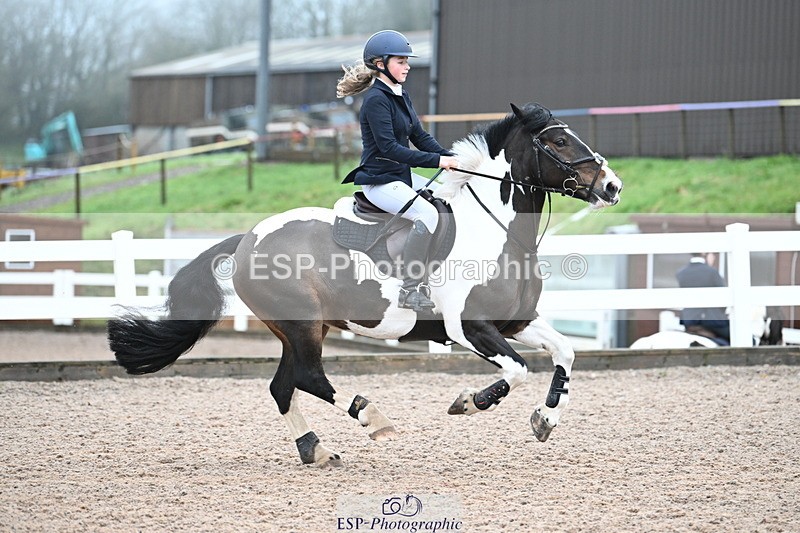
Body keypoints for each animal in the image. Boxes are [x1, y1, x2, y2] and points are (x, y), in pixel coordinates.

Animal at [108, 103, 624, 467]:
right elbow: (516, 370)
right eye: (558, 141)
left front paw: (545, 419)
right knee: (308, 378)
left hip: (300, 329)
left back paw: (316, 451)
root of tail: (248, 238)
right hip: (302, 325)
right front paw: (468, 403)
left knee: (283, 386)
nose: (612, 186)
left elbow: (565, 352)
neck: (495, 229)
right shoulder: (470, 327)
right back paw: (373, 419)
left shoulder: (517, 322)